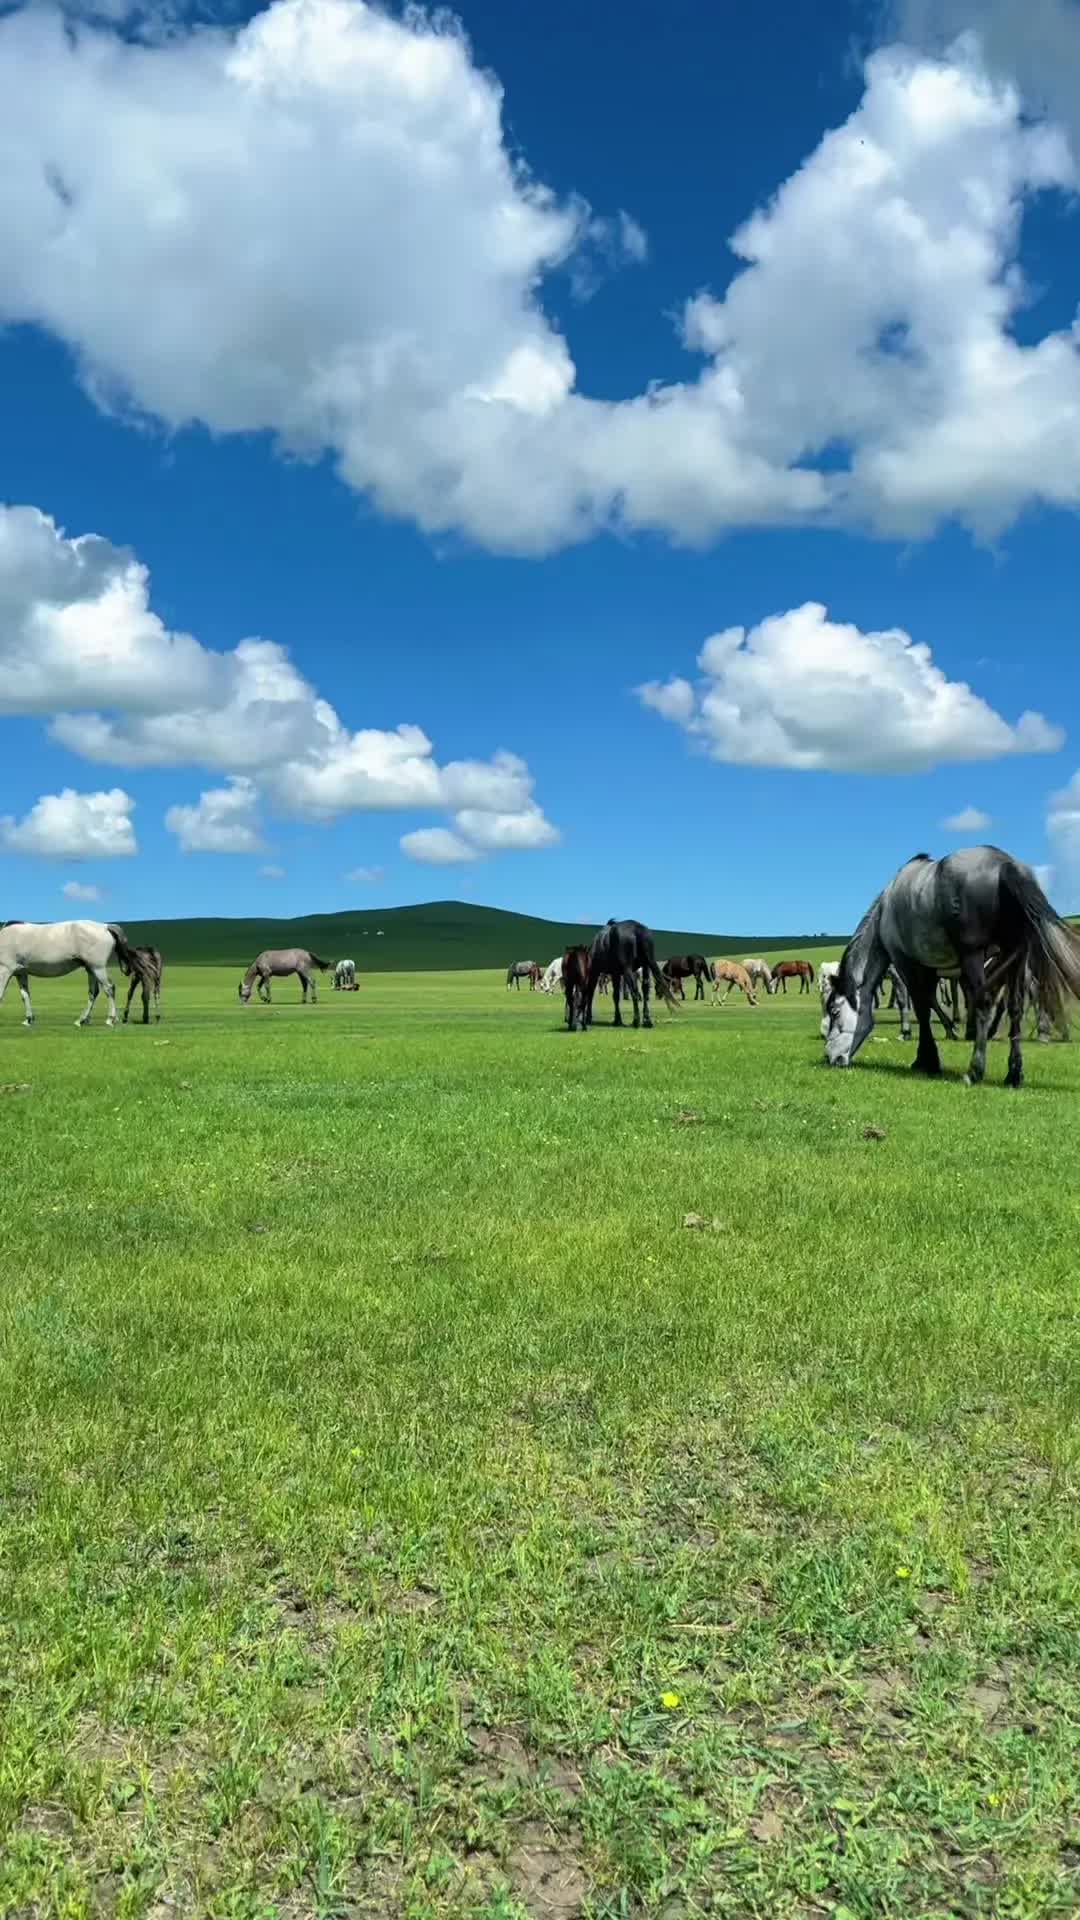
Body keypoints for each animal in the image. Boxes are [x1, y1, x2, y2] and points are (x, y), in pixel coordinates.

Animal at [0, 919, 140, 1027]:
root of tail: (105, 926)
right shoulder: (21, 973)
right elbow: (25, 996)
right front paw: (28, 1019)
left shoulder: (5, 970)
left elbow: (1, 993)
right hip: (91, 969)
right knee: (93, 992)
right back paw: (82, 1020)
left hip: (97, 967)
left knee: (109, 988)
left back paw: (110, 1019)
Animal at [822, 847, 1080, 1087]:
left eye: (835, 1011)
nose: (829, 1058)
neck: (885, 910)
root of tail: (1005, 864)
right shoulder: (930, 969)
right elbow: (929, 1003)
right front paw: (938, 1045)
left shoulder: (907, 963)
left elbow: (921, 1006)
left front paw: (927, 1059)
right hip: (1015, 956)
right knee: (1015, 1006)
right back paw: (1014, 1074)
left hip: (974, 956)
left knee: (985, 1002)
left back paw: (975, 1071)